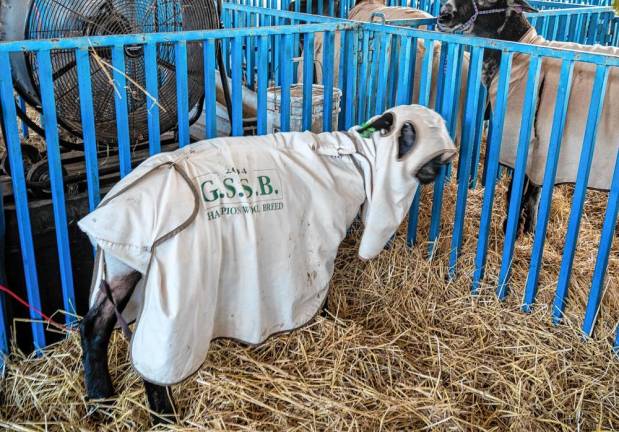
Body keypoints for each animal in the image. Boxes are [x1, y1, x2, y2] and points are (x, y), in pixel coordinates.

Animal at [76, 105, 456, 426]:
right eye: (409, 135)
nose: (440, 170)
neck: (353, 159)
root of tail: (120, 201)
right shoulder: (318, 244)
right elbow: (321, 290)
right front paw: (328, 320)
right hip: (175, 290)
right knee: (153, 357)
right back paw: (163, 416)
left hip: (123, 266)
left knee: (94, 326)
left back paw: (101, 403)